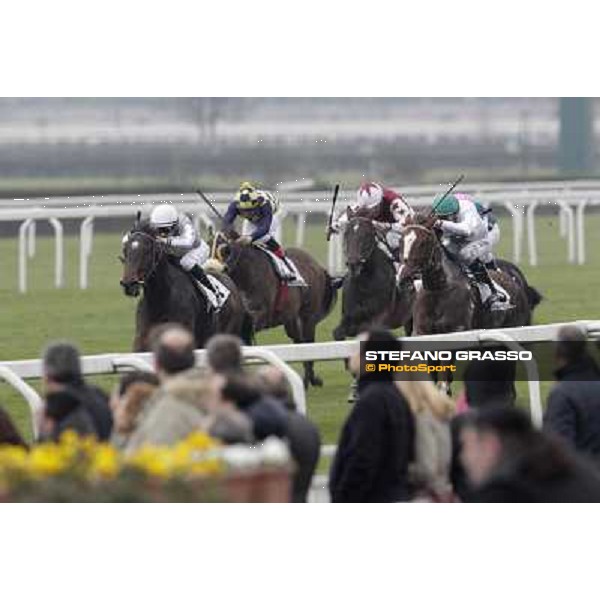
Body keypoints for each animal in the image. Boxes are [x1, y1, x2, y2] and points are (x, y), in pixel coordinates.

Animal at [214, 232, 338, 386]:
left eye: (230, 251)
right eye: (220, 251)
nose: (221, 269)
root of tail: (318, 266)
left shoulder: (261, 316)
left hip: (307, 318)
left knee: (308, 343)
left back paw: (310, 379)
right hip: (290, 320)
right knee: (299, 342)